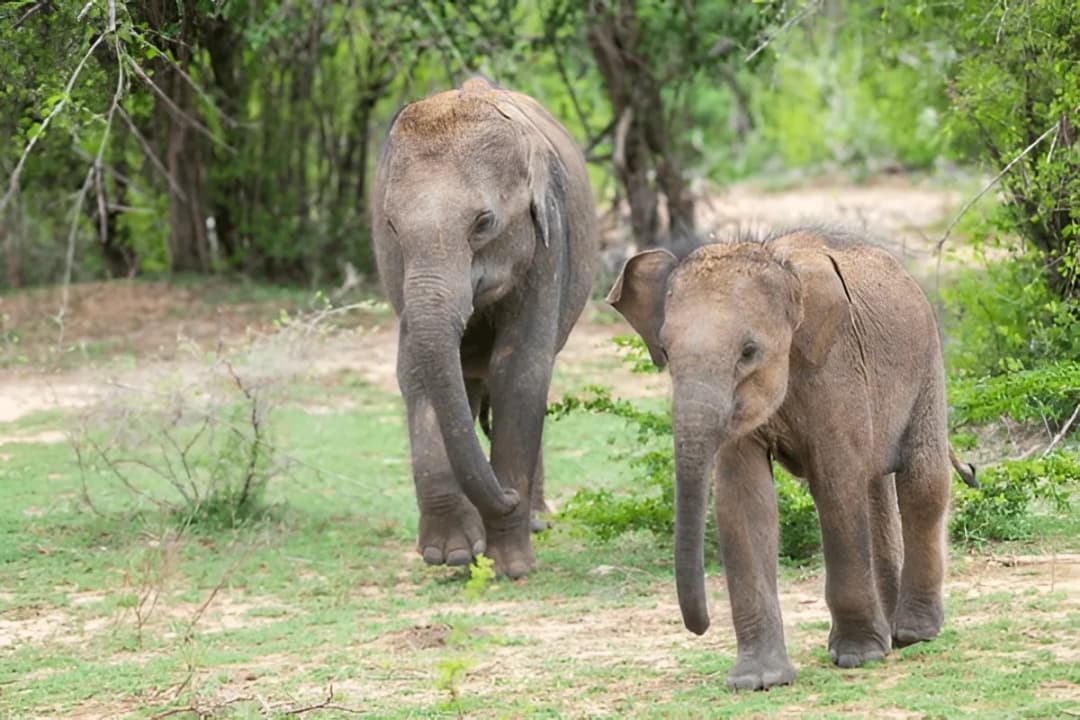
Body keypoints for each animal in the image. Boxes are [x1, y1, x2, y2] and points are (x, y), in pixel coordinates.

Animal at [371, 77, 597, 579]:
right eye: (391, 226)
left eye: (484, 222)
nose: (508, 497)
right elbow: (416, 371)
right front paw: (451, 554)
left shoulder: (548, 245)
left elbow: (519, 371)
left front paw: (510, 568)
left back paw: (534, 520)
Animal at [608, 228, 956, 690]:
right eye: (664, 349)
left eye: (749, 351)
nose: (700, 626)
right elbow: (744, 501)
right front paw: (758, 680)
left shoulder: (835, 368)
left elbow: (836, 485)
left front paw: (857, 657)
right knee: (876, 488)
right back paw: (892, 636)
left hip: (927, 362)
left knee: (921, 482)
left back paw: (914, 633)